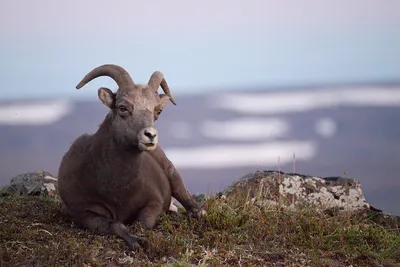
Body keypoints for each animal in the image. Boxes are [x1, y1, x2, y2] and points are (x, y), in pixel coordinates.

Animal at [57, 64, 205, 251]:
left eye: (158, 111)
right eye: (122, 107)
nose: (150, 135)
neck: (115, 189)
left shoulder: (153, 203)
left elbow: (143, 223)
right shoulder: (84, 213)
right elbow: (116, 225)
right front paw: (136, 241)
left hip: (173, 175)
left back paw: (198, 213)